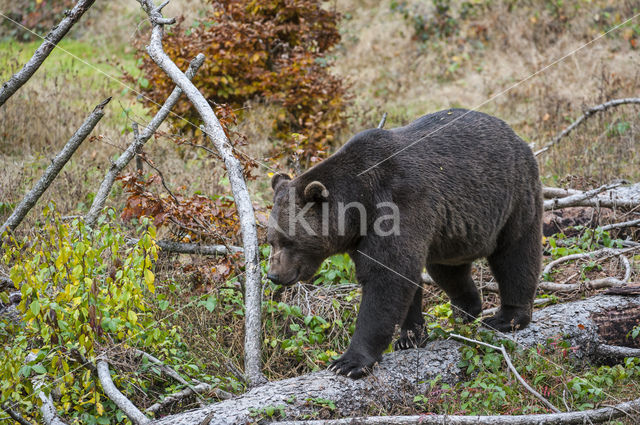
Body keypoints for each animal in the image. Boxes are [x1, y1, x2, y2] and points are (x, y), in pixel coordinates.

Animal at [264, 108, 540, 378]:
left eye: (289, 241)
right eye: (271, 240)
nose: (274, 275)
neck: (360, 205)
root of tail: (515, 135)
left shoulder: (398, 206)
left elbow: (387, 278)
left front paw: (349, 362)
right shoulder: (364, 237)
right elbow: (404, 276)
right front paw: (410, 337)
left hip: (514, 195)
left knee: (516, 255)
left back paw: (508, 317)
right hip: (451, 234)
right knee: (447, 270)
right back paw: (466, 309)